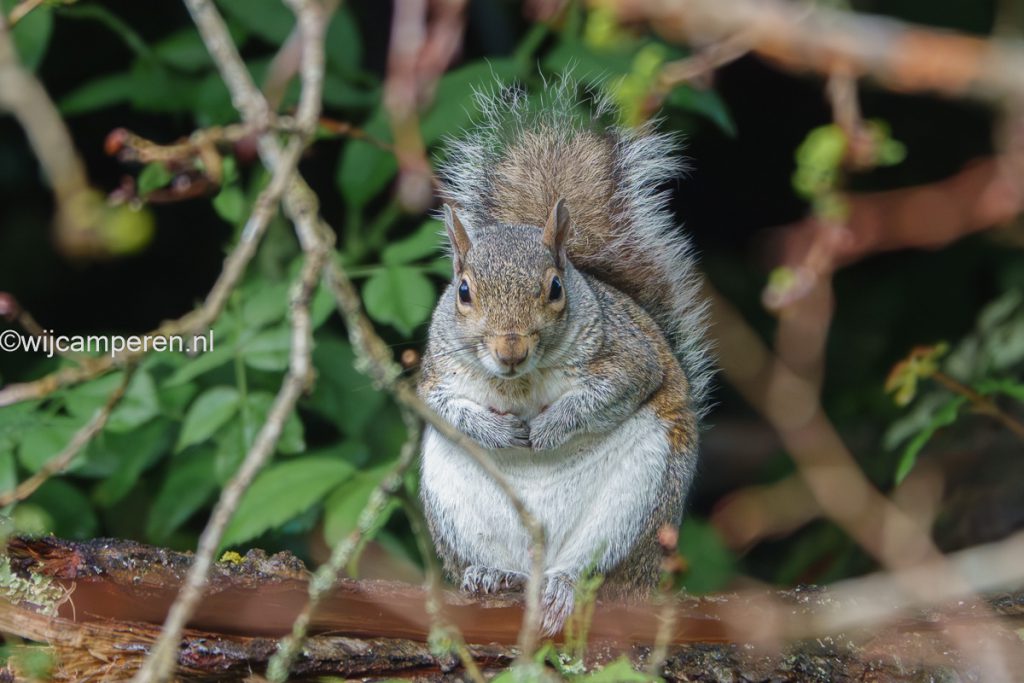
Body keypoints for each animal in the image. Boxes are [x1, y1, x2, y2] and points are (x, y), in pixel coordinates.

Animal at [415, 81, 712, 634]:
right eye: (463, 291)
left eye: (555, 288)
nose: (510, 348)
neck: (520, 381)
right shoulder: (435, 373)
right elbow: (441, 407)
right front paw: (499, 431)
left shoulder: (629, 354)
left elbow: (617, 387)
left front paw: (551, 427)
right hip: (452, 499)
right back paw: (492, 574)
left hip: (639, 498)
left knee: (598, 567)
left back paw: (564, 586)